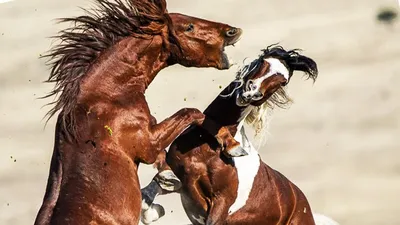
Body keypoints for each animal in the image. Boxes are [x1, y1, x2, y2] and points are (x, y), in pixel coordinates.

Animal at [32, 0, 244, 225]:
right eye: (189, 27)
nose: (232, 31)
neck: (108, 94)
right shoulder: (147, 144)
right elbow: (194, 113)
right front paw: (232, 146)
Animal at [141, 45, 338, 225]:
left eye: (283, 81)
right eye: (263, 62)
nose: (252, 92)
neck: (206, 149)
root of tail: (303, 205)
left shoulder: (221, 205)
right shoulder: (182, 181)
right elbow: (148, 198)